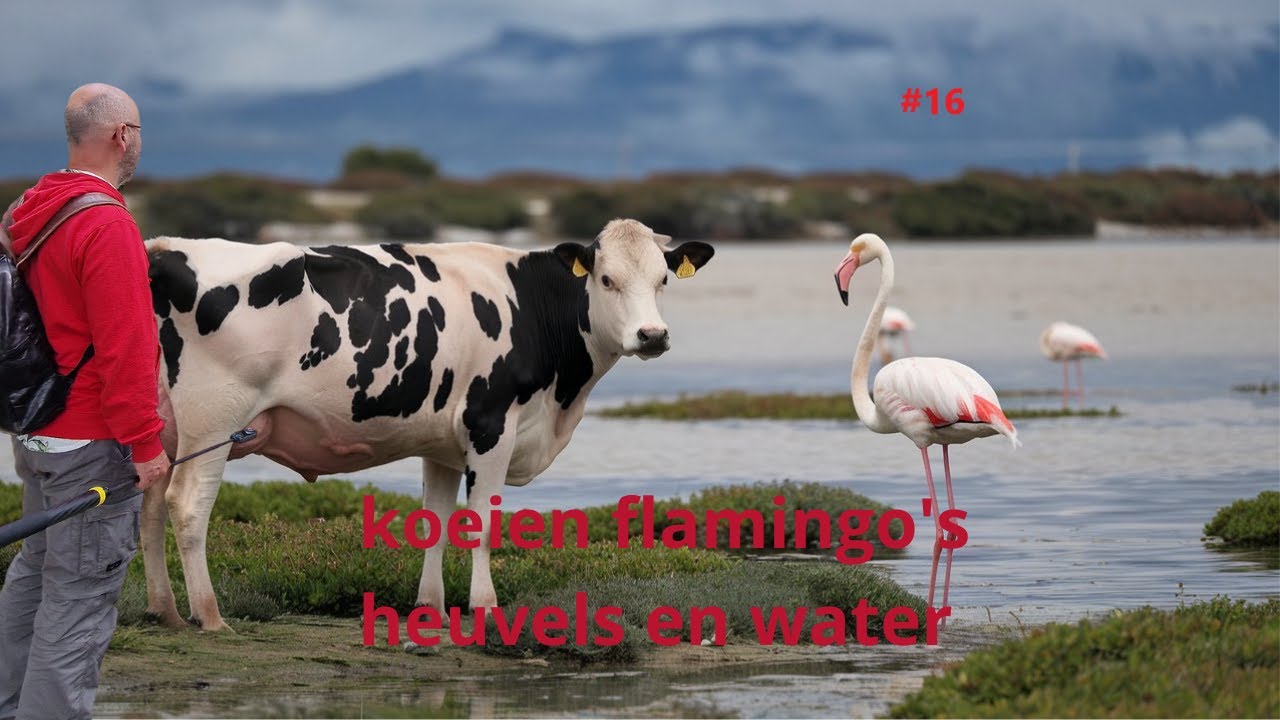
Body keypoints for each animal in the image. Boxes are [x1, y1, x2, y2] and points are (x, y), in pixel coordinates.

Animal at [140, 219, 714, 631]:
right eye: (607, 279)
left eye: (663, 279)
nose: (652, 335)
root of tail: (165, 247)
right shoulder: (491, 424)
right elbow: (481, 525)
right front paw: (485, 608)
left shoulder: (442, 444)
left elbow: (435, 523)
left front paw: (431, 609)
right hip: (215, 418)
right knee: (186, 505)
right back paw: (209, 615)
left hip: (165, 428)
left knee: (149, 507)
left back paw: (164, 611)